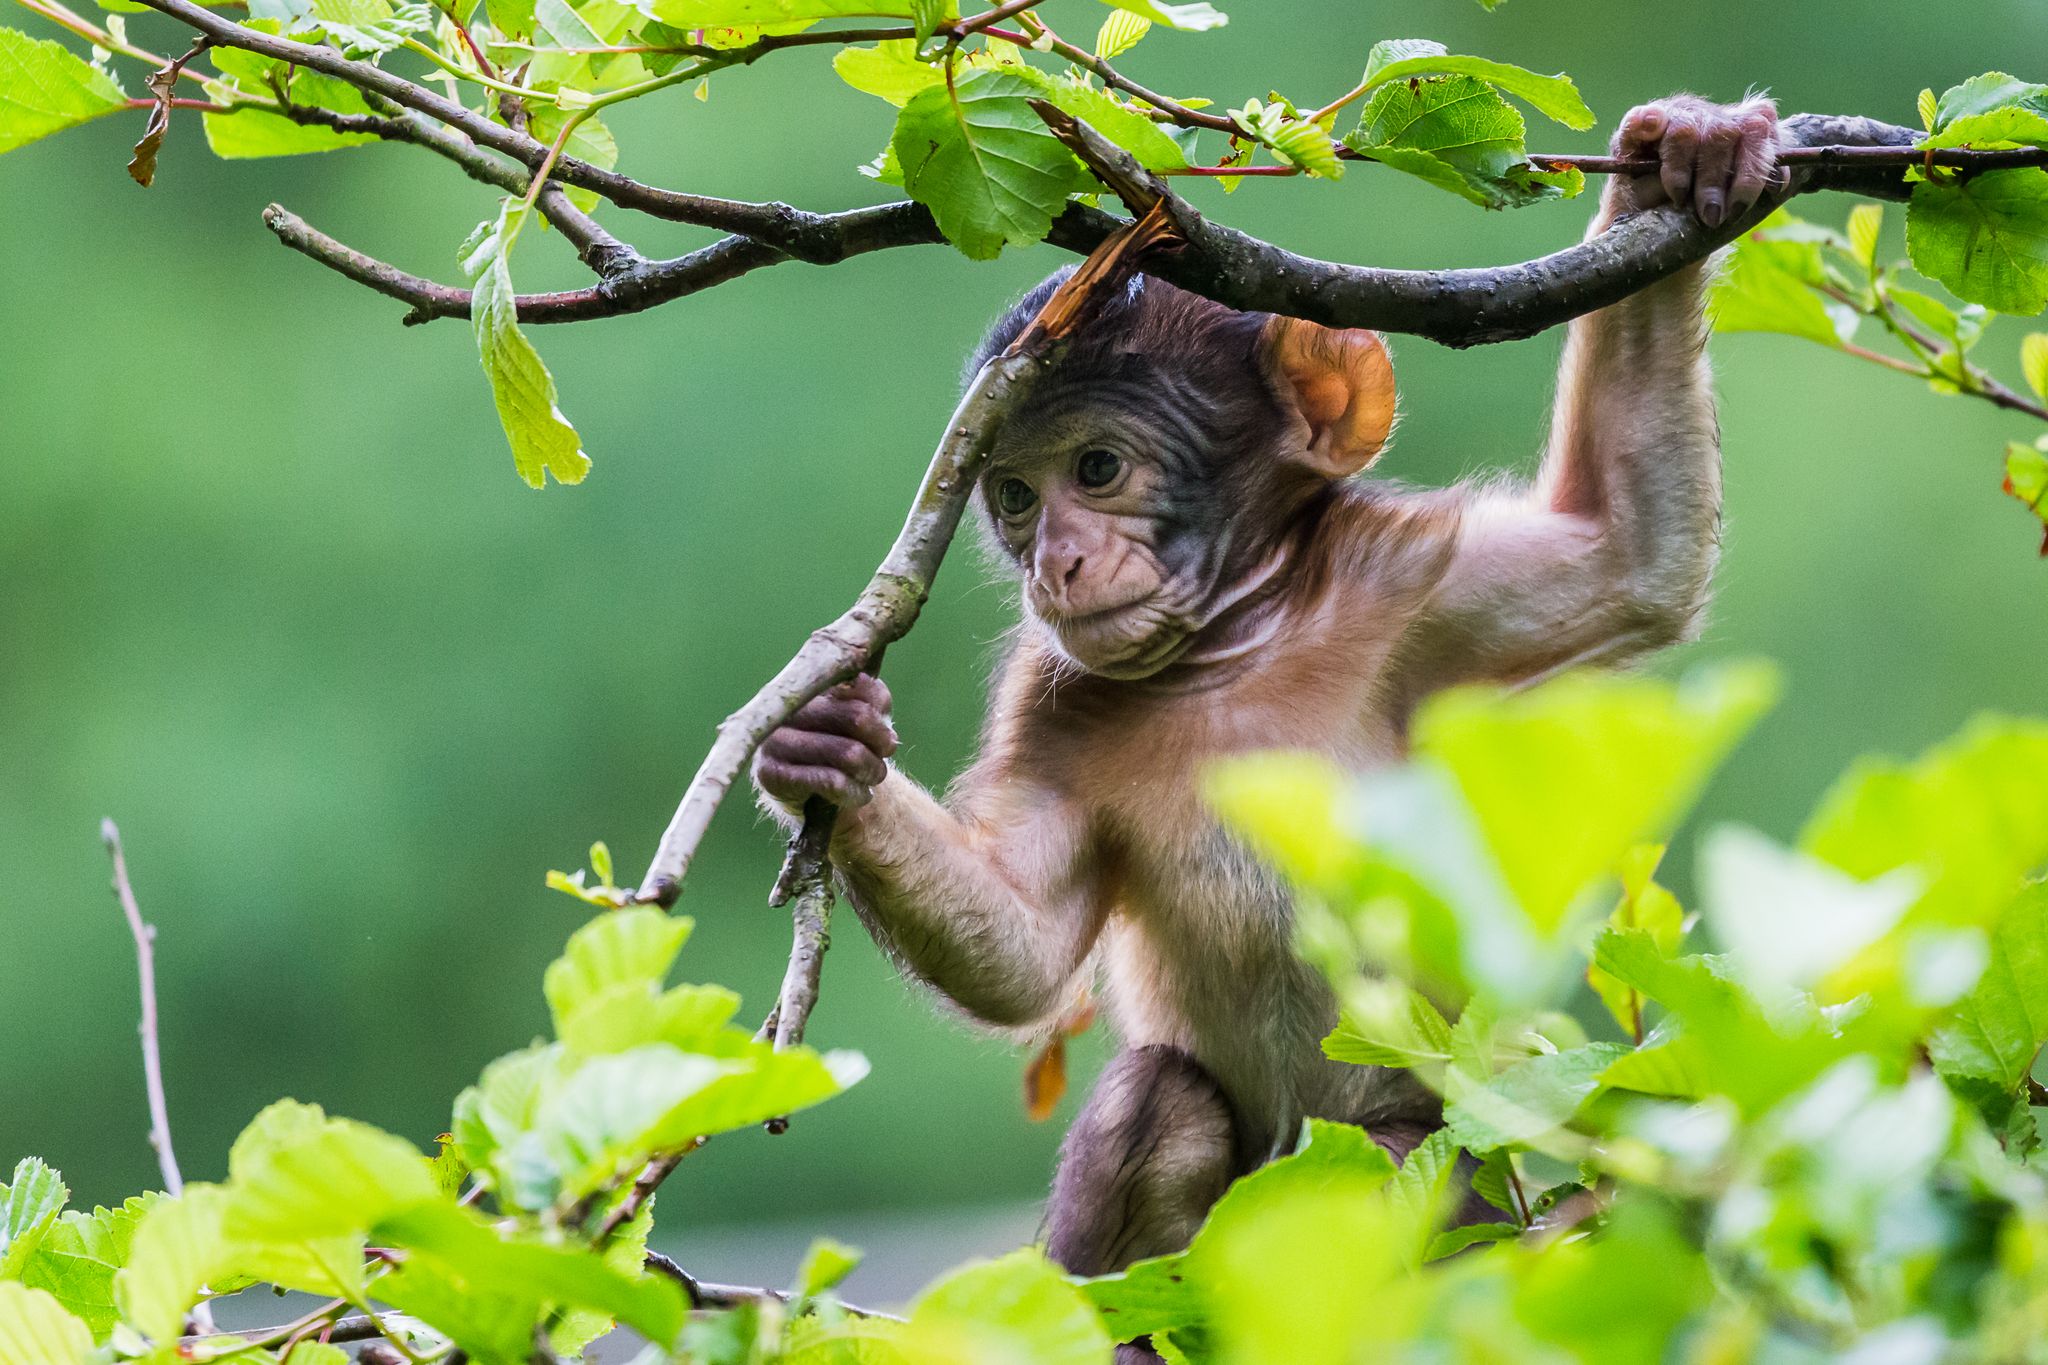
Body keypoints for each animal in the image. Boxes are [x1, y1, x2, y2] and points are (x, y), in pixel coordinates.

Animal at [754, 92, 1775, 1326]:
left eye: (1096, 468)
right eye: (1011, 495)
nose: (1055, 563)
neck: (1229, 648)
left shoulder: (1412, 590)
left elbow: (1630, 558)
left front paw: (1683, 165)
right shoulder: (1047, 703)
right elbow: (1025, 952)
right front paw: (824, 757)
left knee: (1402, 1158)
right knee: (1159, 1098)